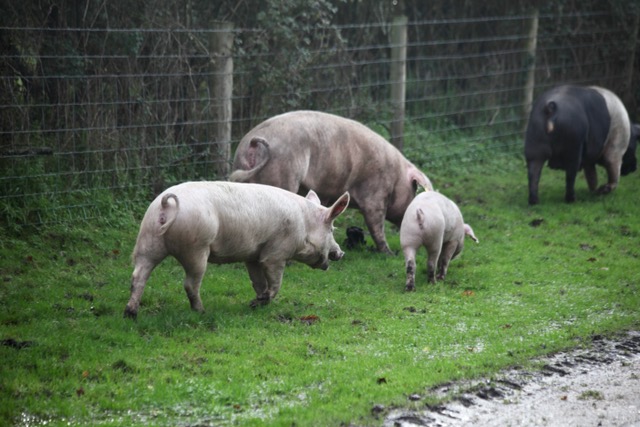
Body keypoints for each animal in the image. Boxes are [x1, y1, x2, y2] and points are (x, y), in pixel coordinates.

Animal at [124, 181, 350, 319]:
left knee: (138, 276)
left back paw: (131, 313)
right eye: (332, 229)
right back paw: (201, 311)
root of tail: (166, 206)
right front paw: (259, 301)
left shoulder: (253, 256)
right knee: (189, 284)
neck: (305, 223)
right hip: (196, 249)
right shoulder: (276, 253)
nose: (340, 253)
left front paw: (257, 302)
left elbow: (258, 282)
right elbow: (275, 282)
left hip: (148, 240)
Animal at [229, 110, 433, 254]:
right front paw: (388, 253)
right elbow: (376, 224)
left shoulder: (326, 191)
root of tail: (251, 144)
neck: (396, 177)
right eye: (414, 193)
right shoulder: (374, 193)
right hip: (282, 174)